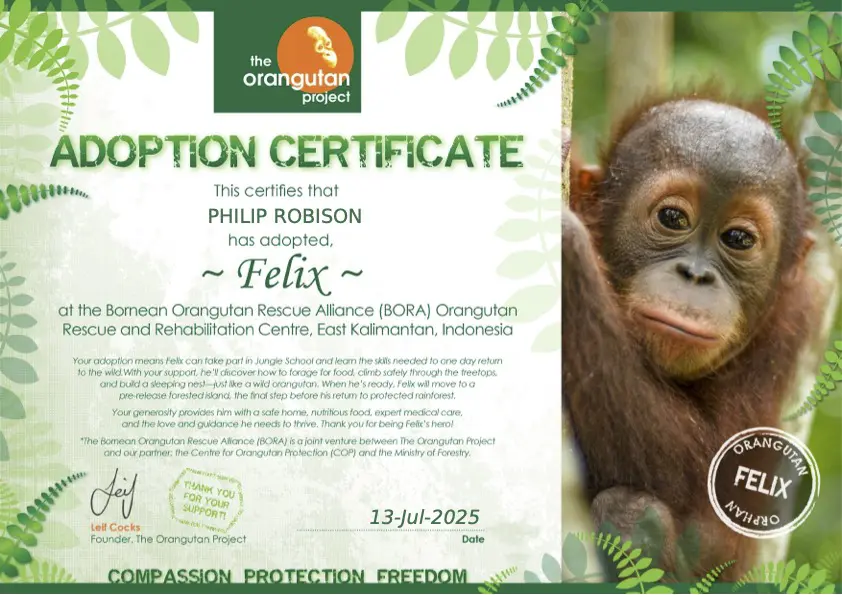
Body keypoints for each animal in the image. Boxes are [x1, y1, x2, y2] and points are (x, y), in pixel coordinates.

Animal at [562, 94, 820, 579]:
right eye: (672, 218)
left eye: (737, 239)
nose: (695, 275)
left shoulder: (779, 343)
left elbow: (697, 475)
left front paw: (566, 240)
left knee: (631, 512)